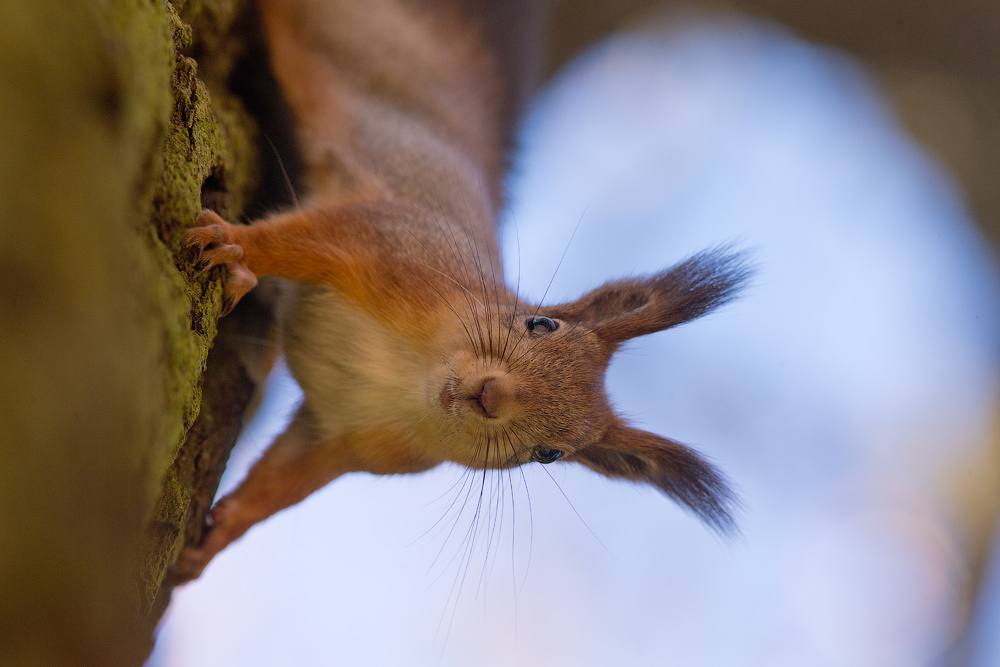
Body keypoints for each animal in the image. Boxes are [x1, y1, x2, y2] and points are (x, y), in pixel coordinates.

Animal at [172, 0, 752, 580]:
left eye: (549, 454)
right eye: (540, 323)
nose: (491, 396)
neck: (412, 380)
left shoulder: (341, 435)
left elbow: (281, 484)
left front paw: (216, 537)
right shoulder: (388, 245)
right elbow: (301, 242)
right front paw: (239, 249)